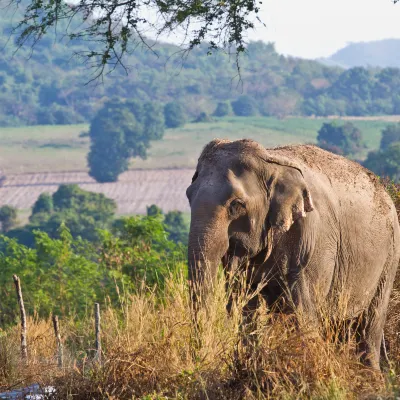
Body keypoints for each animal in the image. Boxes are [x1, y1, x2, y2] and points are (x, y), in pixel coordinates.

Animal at [185, 138, 400, 368]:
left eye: (237, 205)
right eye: (188, 195)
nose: (200, 361)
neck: (271, 164)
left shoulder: (313, 240)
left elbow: (304, 310)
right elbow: (246, 307)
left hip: (390, 256)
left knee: (370, 322)